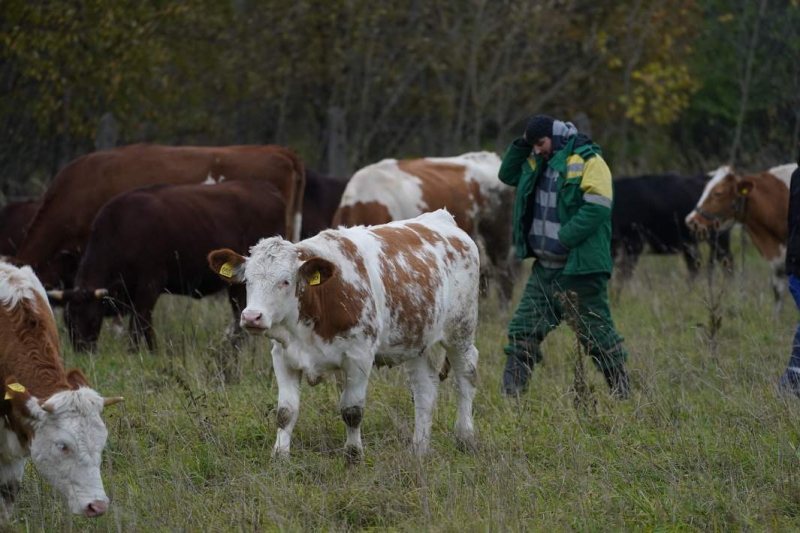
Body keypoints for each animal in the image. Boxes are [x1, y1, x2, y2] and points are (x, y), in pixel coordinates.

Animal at [209, 210, 478, 464]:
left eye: (285, 281)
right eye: (248, 280)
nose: (252, 317)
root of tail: (442, 219)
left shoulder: (360, 357)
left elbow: (352, 411)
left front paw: (353, 457)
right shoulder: (283, 357)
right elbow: (285, 412)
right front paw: (280, 458)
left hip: (460, 331)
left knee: (466, 376)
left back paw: (465, 437)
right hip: (415, 340)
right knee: (425, 388)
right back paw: (419, 449)